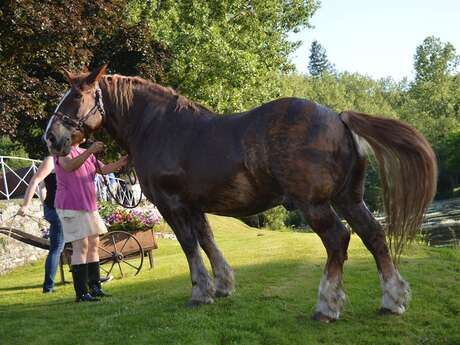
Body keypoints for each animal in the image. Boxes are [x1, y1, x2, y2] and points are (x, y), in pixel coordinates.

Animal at [45, 66, 436, 322]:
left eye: (75, 97)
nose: (51, 138)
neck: (159, 128)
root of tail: (338, 118)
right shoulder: (195, 206)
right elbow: (208, 241)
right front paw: (222, 286)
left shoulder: (173, 205)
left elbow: (190, 246)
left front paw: (200, 293)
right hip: (349, 199)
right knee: (374, 235)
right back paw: (392, 300)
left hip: (314, 204)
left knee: (338, 240)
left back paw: (327, 306)